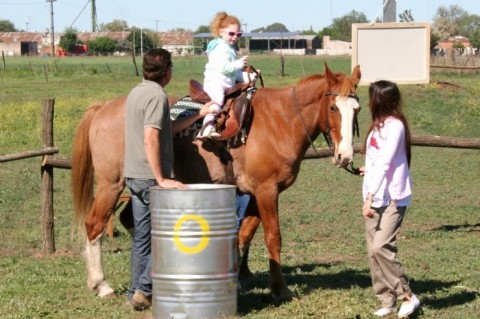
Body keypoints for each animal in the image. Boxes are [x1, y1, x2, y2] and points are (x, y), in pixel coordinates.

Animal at [72, 64, 360, 302]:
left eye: (356, 109)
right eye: (333, 108)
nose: (345, 156)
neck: (280, 121)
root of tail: (103, 107)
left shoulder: (256, 193)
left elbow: (243, 235)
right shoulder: (267, 191)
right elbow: (273, 238)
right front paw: (280, 289)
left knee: (128, 221)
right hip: (111, 184)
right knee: (95, 224)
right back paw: (101, 285)